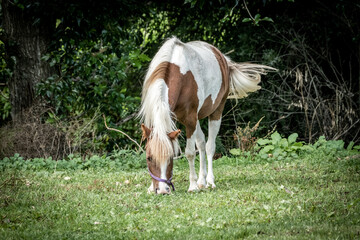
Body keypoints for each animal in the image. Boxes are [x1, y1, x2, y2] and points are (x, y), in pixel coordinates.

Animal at [139, 37, 274, 194]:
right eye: (149, 158)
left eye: (171, 158)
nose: (162, 190)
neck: (177, 73)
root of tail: (224, 59)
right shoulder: (171, 119)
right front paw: (151, 187)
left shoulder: (190, 120)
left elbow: (190, 153)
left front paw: (192, 186)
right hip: (196, 119)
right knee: (202, 143)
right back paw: (201, 181)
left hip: (215, 113)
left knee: (209, 146)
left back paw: (209, 181)